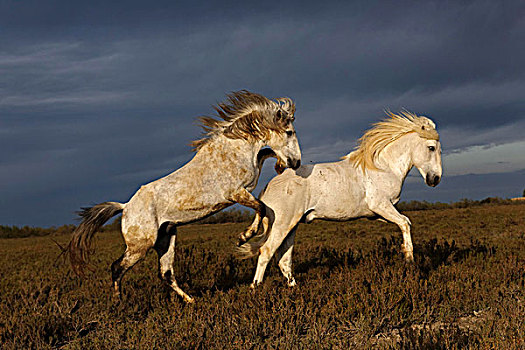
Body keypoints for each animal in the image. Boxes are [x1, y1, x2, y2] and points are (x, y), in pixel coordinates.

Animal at [67, 91, 300, 304]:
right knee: (117, 267)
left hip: (166, 240)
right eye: (289, 132)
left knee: (166, 274)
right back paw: (119, 302)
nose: (296, 162)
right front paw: (245, 236)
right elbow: (261, 207)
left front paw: (279, 164)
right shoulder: (236, 193)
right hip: (140, 246)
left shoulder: (247, 184)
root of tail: (125, 207)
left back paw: (190, 300)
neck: (231, 151)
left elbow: (265, 156)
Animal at [239, 111, 440, 288]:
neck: (384, 168)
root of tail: (267, 187)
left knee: (284, 259)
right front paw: (409, 260)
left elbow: (404, 222)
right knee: (266, 252)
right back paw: (255, 288)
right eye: (431, 147)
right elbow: (405, 222)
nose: (435, 179)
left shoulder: (378, 214)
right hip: (282, 225)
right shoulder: (381, 206)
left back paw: (294, 288)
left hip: (291, 226)